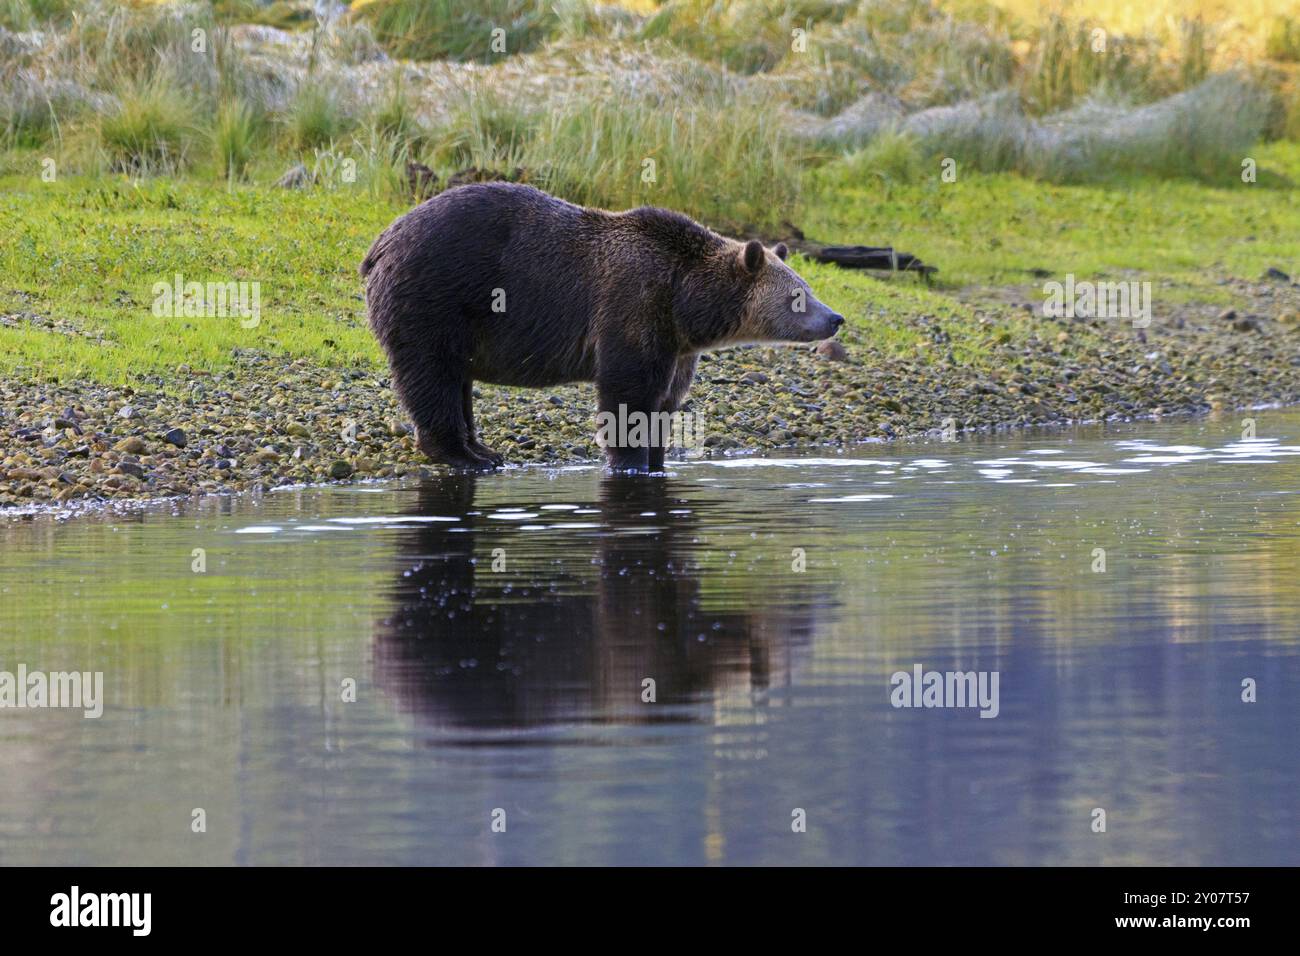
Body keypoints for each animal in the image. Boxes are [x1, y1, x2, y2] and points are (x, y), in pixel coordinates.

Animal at [358, 180, 842, 473]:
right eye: (798, 295)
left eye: (808, 287)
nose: (835, 318)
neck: (686, 300)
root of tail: (380, 242)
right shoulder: (633, 306)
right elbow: (627, 394)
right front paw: (630, 461)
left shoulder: (677, 345)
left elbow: (666, 401)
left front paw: (658, 457)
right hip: (434, 296)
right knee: (432, 374)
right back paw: (463, 454)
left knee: (455, 380)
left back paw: (482, 449)